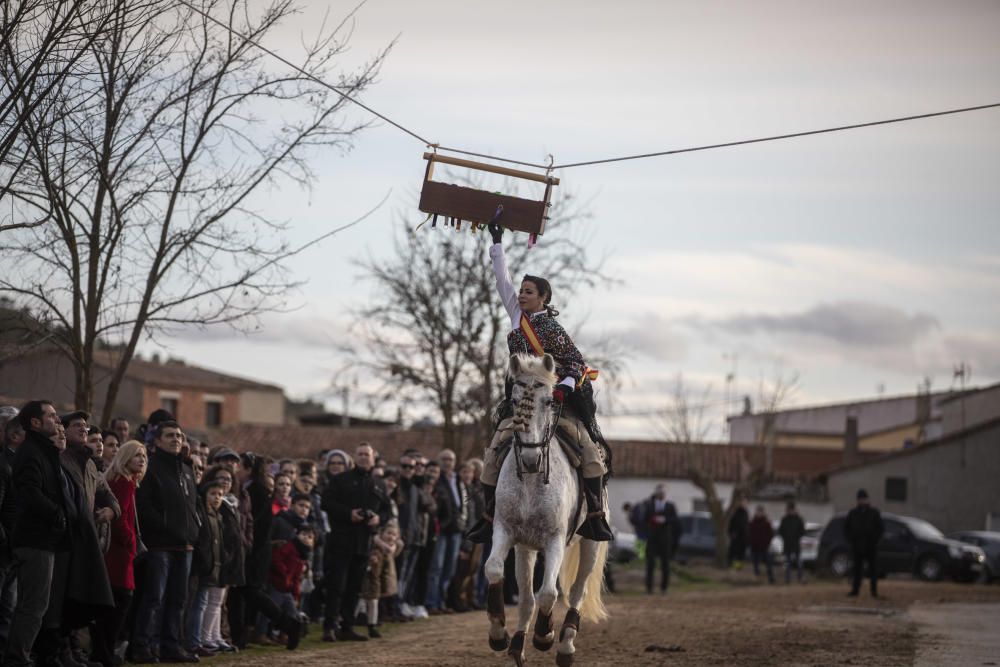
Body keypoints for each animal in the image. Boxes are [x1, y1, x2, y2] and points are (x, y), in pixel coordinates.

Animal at [482, 352, 604, 664]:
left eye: (550, 401)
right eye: (514, 401)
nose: (530, 458)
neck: (531, 478)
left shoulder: (555, 540)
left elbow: (549, 592)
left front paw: (544, 636)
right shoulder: (505, 532)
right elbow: (494, 569)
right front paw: (498, 634)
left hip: (590, 544)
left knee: (576, 593)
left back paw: (565, 647)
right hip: (526, 549)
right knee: (526, 598)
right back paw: (516, 646)